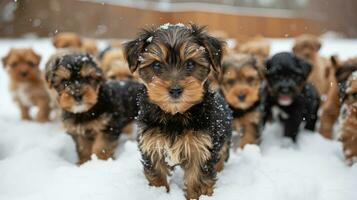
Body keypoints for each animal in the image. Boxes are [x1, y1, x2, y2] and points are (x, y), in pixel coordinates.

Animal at [124, 23, 232, 200]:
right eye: (157, 65)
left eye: (190, 64)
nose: (175, 90)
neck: (174, 115)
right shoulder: (152, 145)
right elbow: (157, 174)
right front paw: (158, 193)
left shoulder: (202, 148)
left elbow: (197, 178)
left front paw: (196, 195)